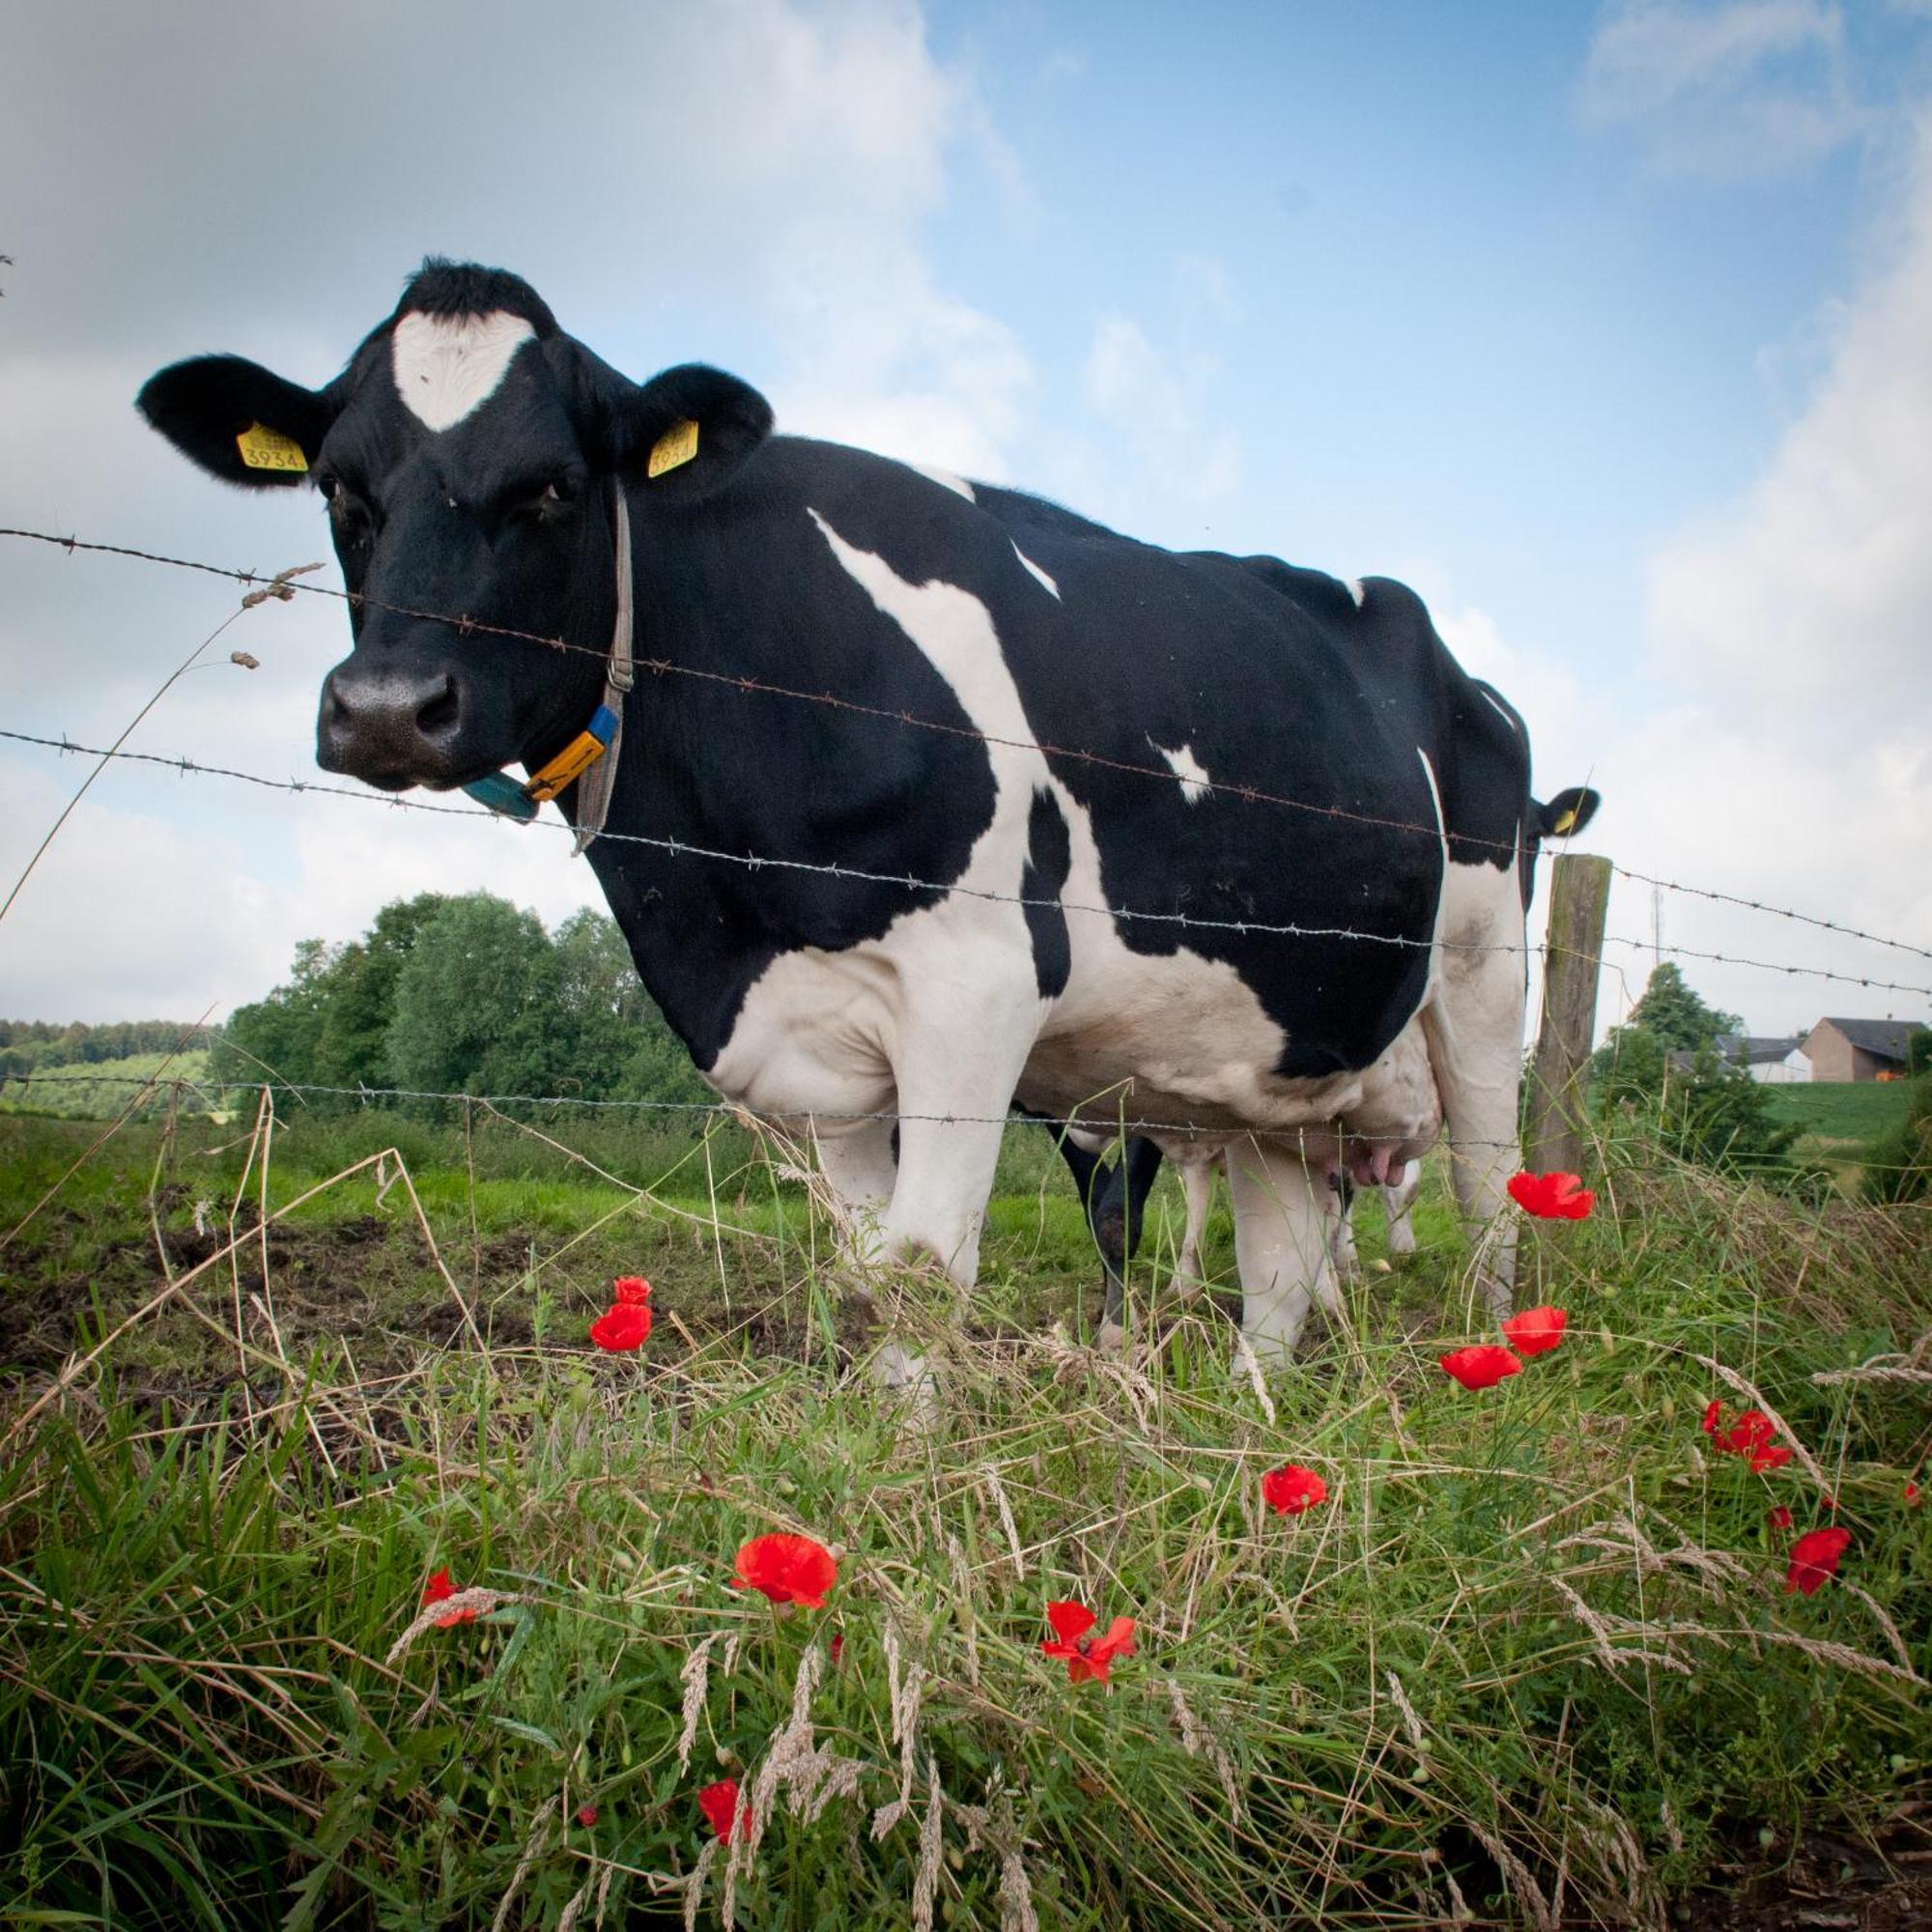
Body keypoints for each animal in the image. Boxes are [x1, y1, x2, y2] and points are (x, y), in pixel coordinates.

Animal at [140, 261, 1600, 1376]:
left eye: (552, 483)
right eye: (341, 487)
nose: (388, 707)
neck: (714, 895)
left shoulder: (974, 991)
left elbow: (923, 1274)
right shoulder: (808, 1059)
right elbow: (865, 1278)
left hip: (1478, 983)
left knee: (1486, 1202)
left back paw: (1489, 1363)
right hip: (1273, 1060)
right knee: (1284, 1264)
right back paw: (1252, 1451)